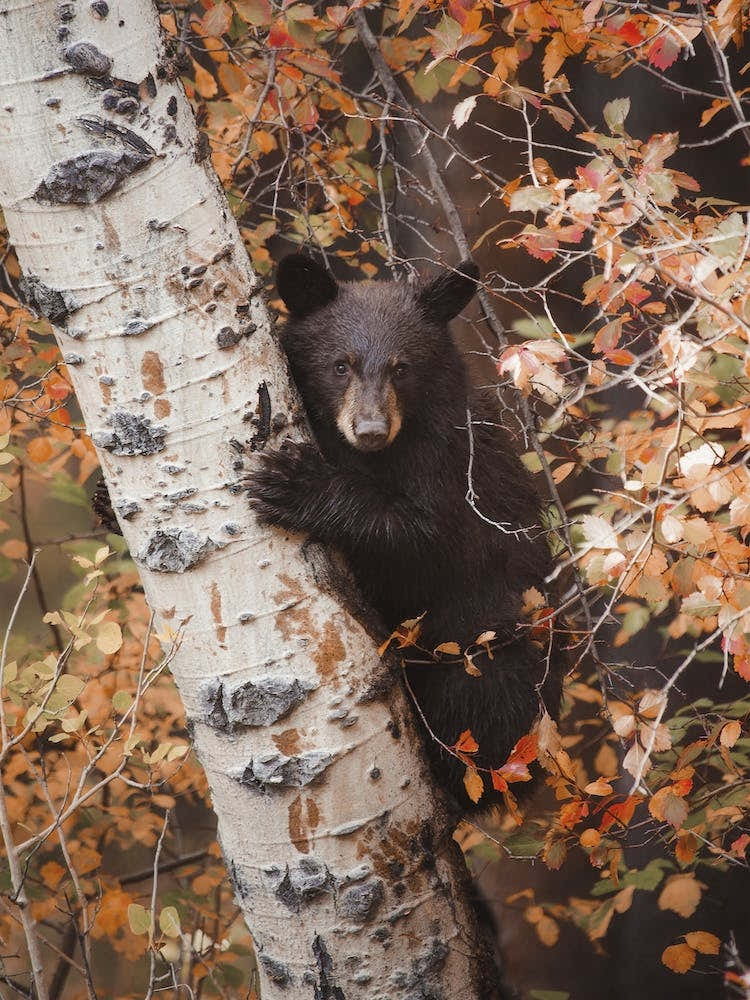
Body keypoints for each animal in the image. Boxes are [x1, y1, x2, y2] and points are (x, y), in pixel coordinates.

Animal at [246, 253, 563, 811]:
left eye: (401, 367)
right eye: (341, 364)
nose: (371, 429)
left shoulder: (452, 465)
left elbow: (425, 537)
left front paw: (296, 484)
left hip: (485, 643)